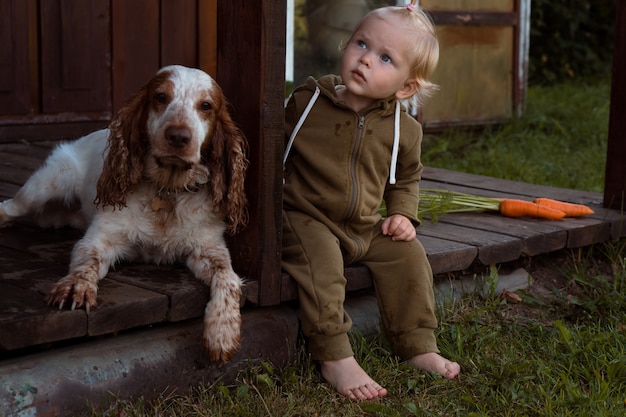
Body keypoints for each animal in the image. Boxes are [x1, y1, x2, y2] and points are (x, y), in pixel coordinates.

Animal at [0, 65, 249, 360]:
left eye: (206, 105)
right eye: (160, 96)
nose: (178, 136)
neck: (167, 190)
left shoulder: (209, 248)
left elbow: (229, 277)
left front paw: (222, 332)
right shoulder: (100, 238)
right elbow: (88, 261)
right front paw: (75, 287)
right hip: (46, 184)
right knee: (9, 207)